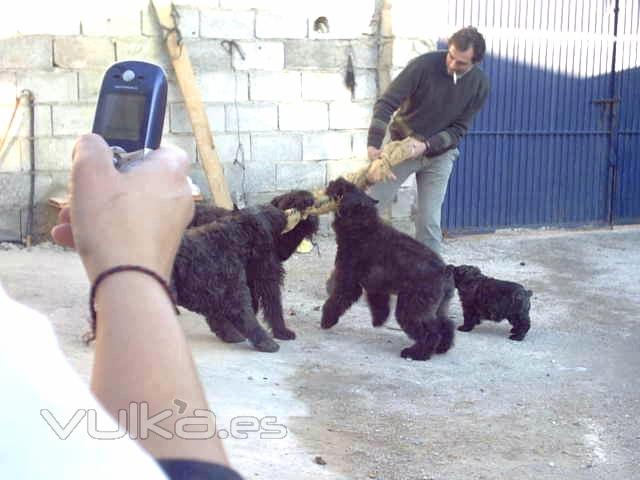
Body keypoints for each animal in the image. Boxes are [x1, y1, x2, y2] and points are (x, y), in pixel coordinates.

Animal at [320, 178, 456, 362]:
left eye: (345, 190)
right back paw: (442, 347)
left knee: (430, 332)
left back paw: (416, 353)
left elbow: (336, 300)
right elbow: (379, 305)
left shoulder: (349, 281)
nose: (335, 180)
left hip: (411, 309)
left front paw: (327, 319)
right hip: (438, 307)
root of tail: (444, 270)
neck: (362, 227)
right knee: (446, 325)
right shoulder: (376, 287)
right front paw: (378, 321)